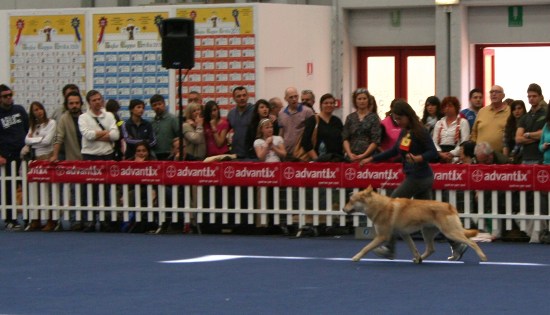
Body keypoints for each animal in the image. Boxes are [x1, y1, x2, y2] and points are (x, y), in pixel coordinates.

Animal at [342, 186, 490, 262]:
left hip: (449, 232)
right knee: (431, 249)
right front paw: (417, 258)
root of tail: (450, 206)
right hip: (428, 233)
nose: (343, 209)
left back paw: (483, 257)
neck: (380, 206)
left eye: (351, 201)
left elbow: (365, 248)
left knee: (472, 242)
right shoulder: (404, 234)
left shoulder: (382, 236)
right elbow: (413, 249)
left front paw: (355, 258)